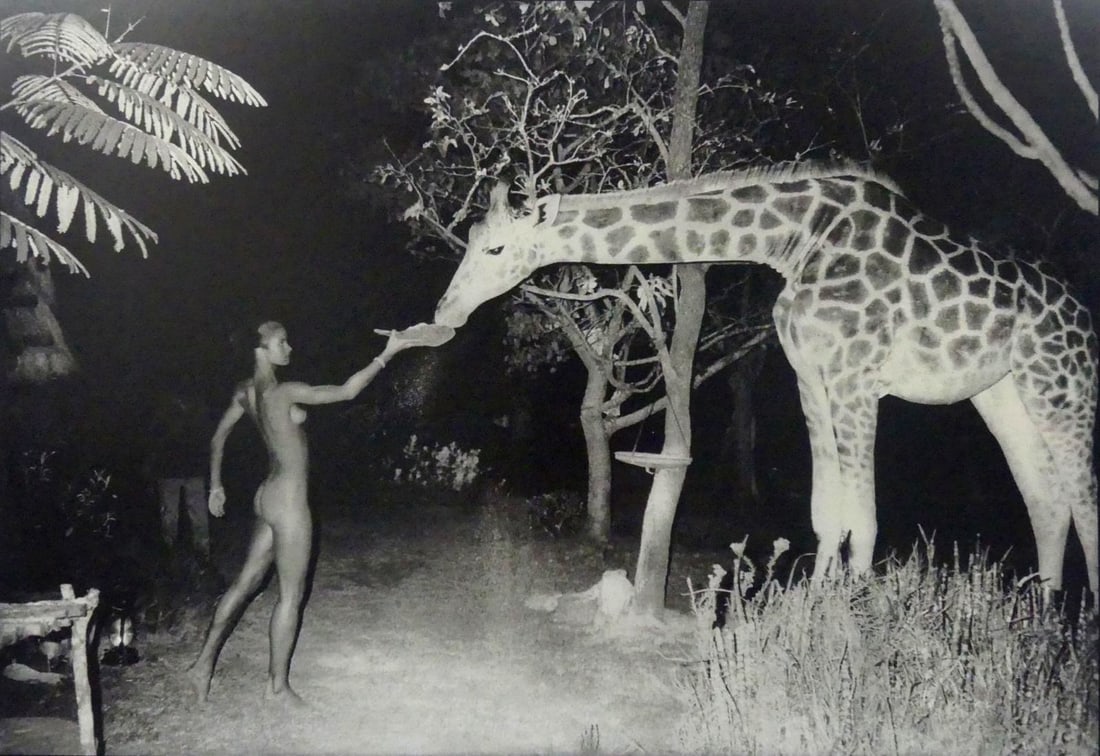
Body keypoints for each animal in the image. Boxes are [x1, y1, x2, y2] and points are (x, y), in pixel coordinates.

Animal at [433, 162, 1099, 600]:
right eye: (468, 241)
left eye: (495, 249)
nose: (445, 311)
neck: (797, 239)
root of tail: (1085, 314)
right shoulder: (810, 373)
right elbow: (828, 512)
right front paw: (810, 612)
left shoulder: (858, 376)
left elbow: (866, 518)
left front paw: (853, 628)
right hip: (1004, 393)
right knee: (1047, 496)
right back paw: (1040, 622)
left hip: (1066, 387)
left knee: (1083, 499)